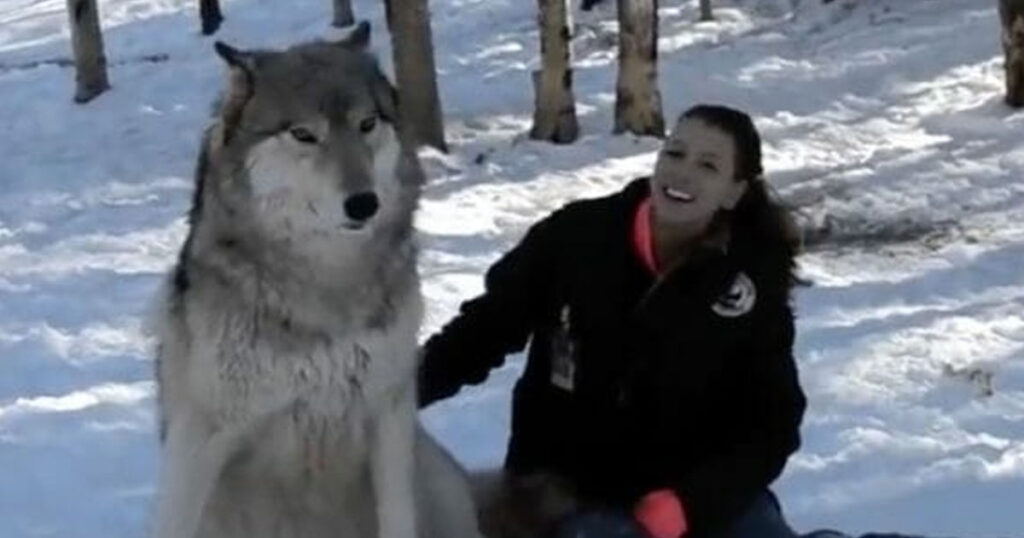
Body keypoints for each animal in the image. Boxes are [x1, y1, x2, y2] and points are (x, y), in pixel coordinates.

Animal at [148, 22, 480, 538]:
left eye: (367, 124)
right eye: (304, 135)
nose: (364, 204)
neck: (326, 286)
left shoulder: (389, 419)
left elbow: (398, 518)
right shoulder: (202, 437)